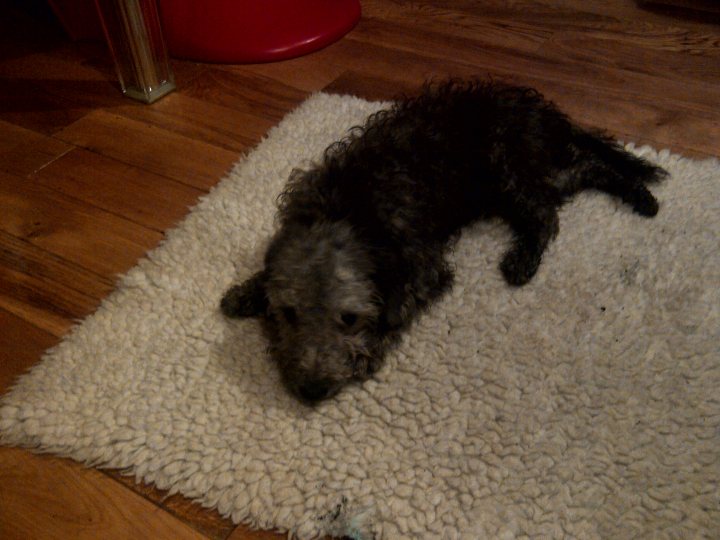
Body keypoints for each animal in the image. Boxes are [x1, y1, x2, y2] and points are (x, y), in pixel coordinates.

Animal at [222, 79, 668, 400]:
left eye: (349, 318)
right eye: (288, 314)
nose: (312, 392)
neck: (345, 211)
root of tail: (545, 112)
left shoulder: (424, 271)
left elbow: (396, 312)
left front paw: (371, 351)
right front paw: (245, 292)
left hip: (511, 170)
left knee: (547, 214)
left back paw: (529, 257)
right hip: (535, 174)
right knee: (590, 169)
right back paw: (641, 197)